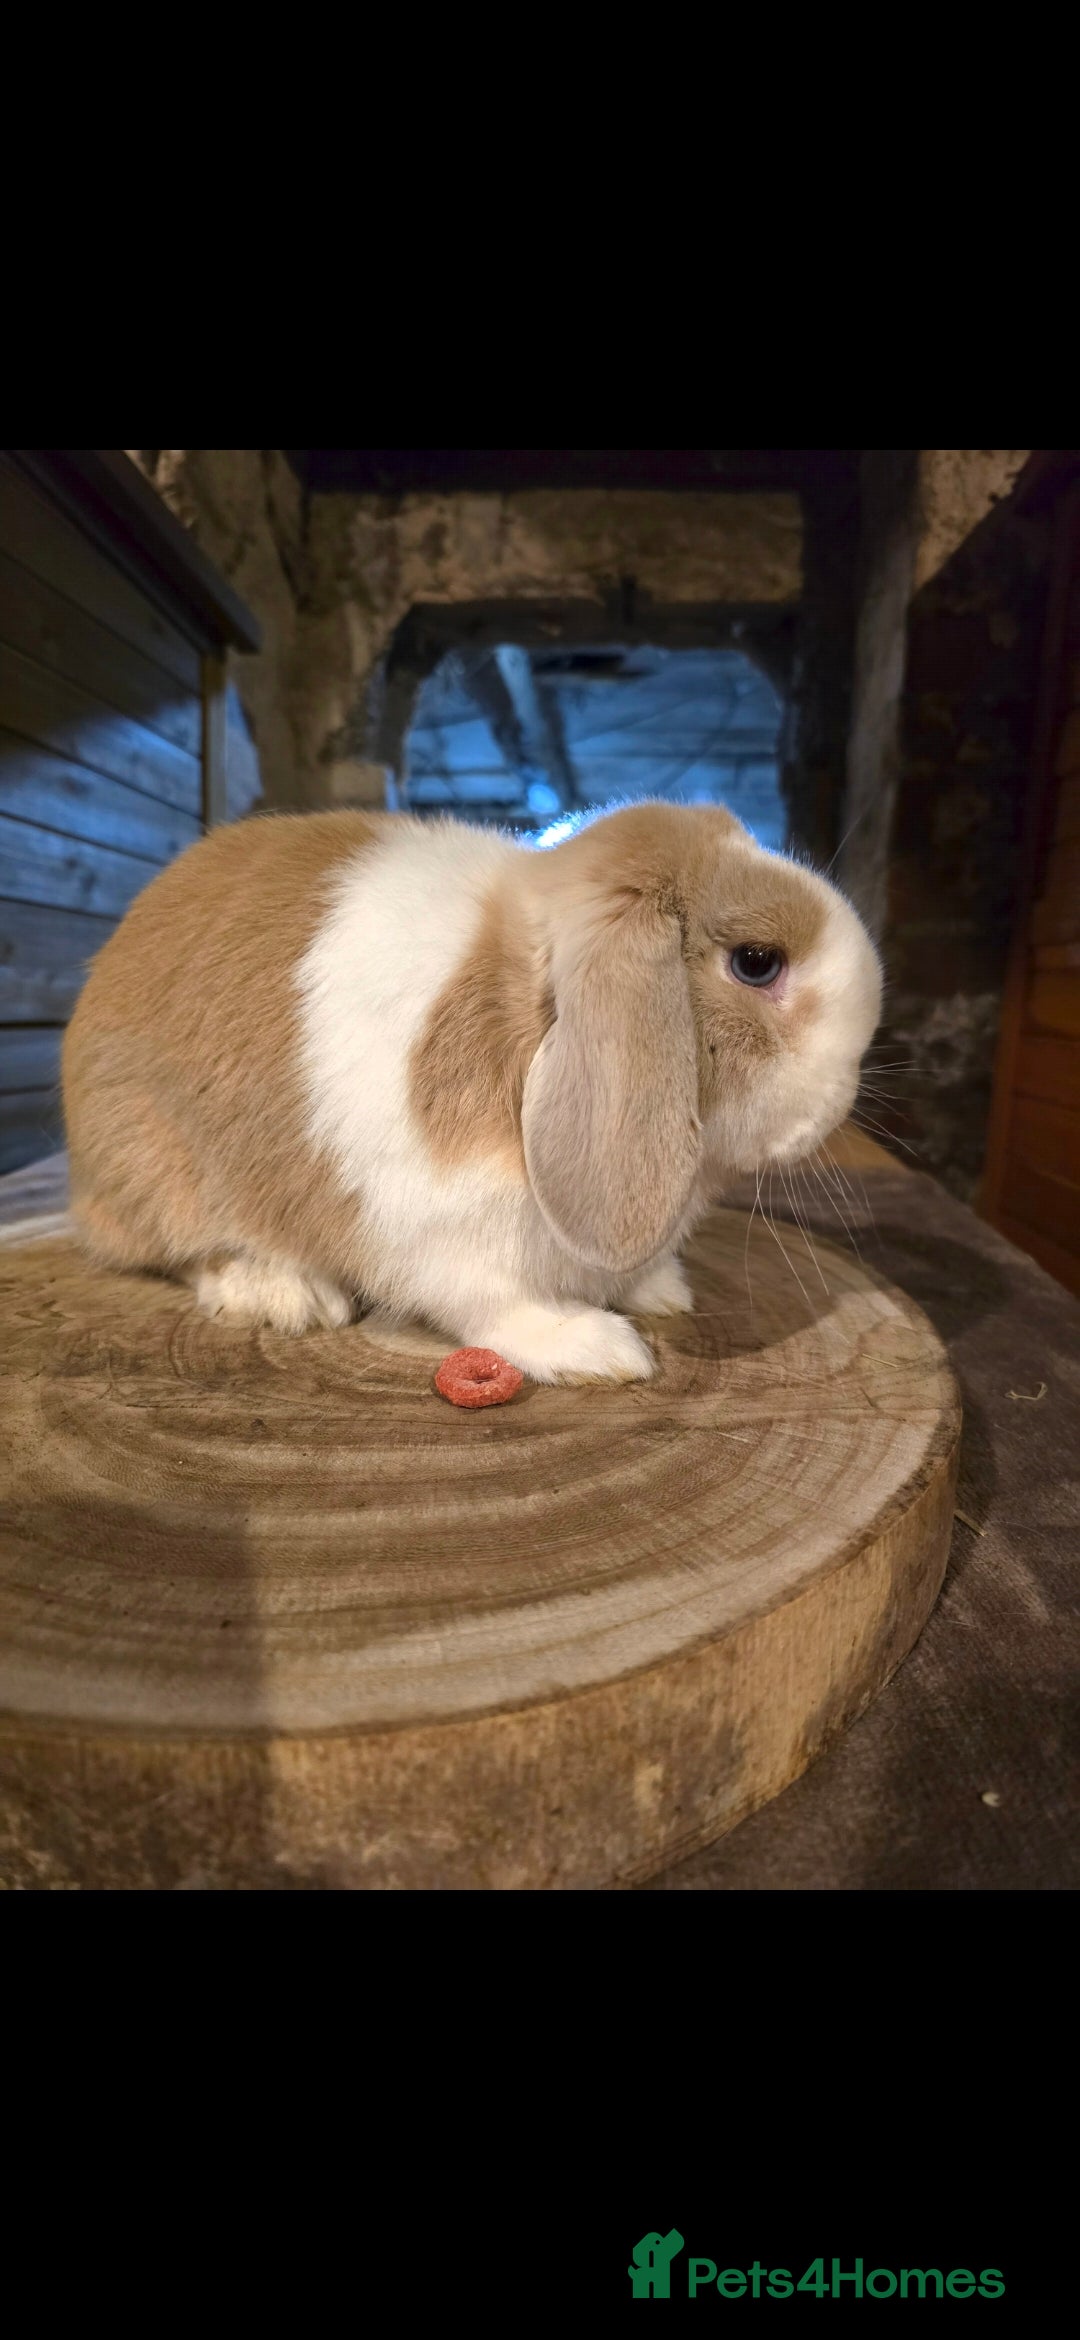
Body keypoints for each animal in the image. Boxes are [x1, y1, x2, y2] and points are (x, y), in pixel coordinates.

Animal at [61, 800, 882, 1385]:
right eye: (756, 962)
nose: (846, 1093)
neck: (527, 1025)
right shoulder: (448, 1226)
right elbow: (495, 1301)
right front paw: (596, 1349)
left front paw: (659, 1291)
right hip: (156, 1168)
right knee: (176, 1249)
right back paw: (283, 1294)